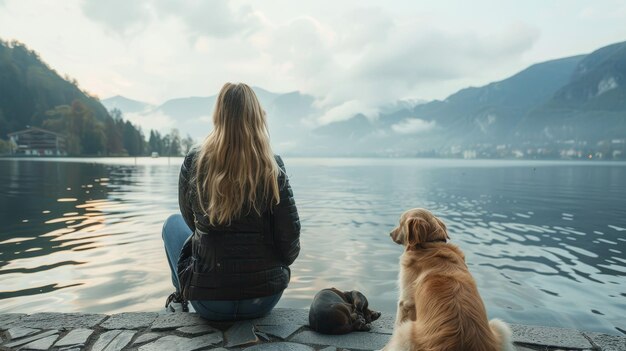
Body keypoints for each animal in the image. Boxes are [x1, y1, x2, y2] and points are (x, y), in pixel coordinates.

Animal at [380, 209, 512, 351]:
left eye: (400, 223)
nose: (390, 233)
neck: (429, 244)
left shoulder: (405, 302)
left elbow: (396, 325)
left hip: (407, 330)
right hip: (499, 326)